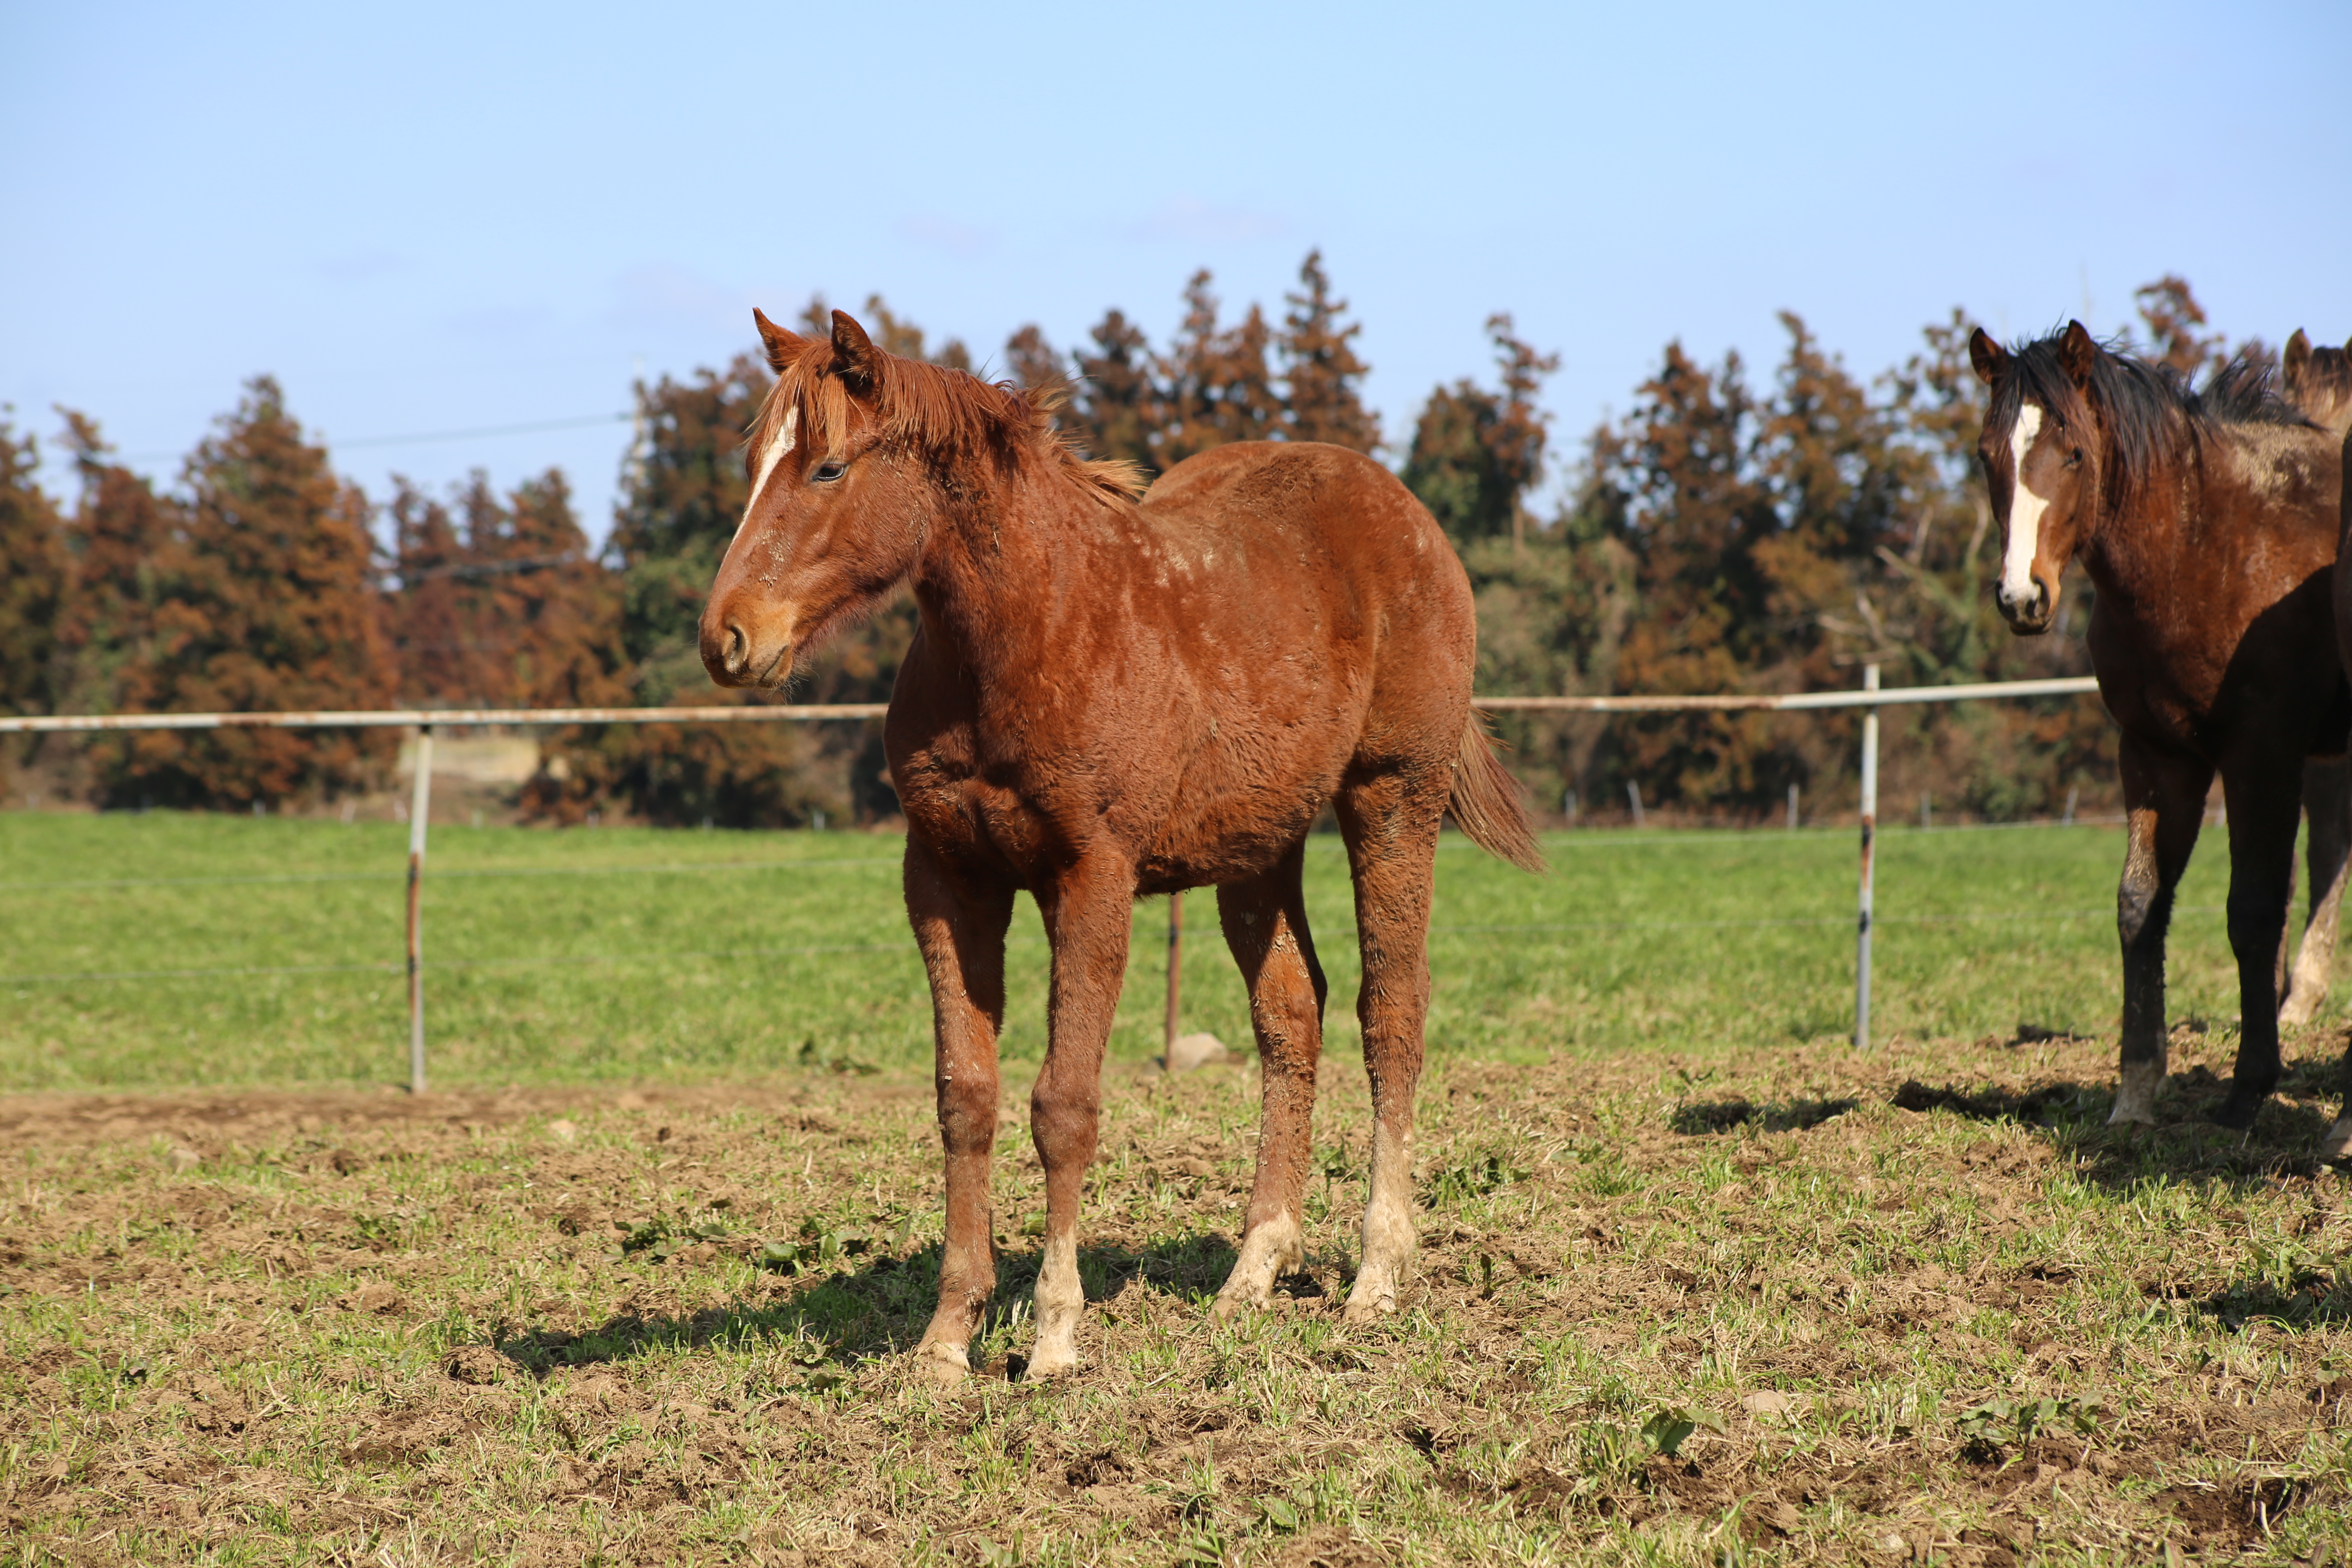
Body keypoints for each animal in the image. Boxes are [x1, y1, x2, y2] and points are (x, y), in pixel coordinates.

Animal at [696, 310, 1543, 1382]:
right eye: (752, 462)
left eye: (828, 467)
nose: (727, 637)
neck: (1023, 634)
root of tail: (1405, 512)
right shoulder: (945, 877)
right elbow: (965, 1097)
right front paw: (947, 1338)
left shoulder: (1090, 875)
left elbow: (1063, 1106)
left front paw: (1054, 1334)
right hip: (1257, 848)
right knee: (1290, 1016)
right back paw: (1251, 1274)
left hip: (1393, 796)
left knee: (1389, 1010)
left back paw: (1375, 1277)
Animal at [1966, 319, 2352, 1161]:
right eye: (1986, 454)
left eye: (2074, 452)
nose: (2021, 596)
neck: (2204, 544)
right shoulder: (2155, 757)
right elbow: (2139, 906)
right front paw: (2136, 1094)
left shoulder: (2260, 756)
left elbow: (2253, 912)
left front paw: (2246, 1092)